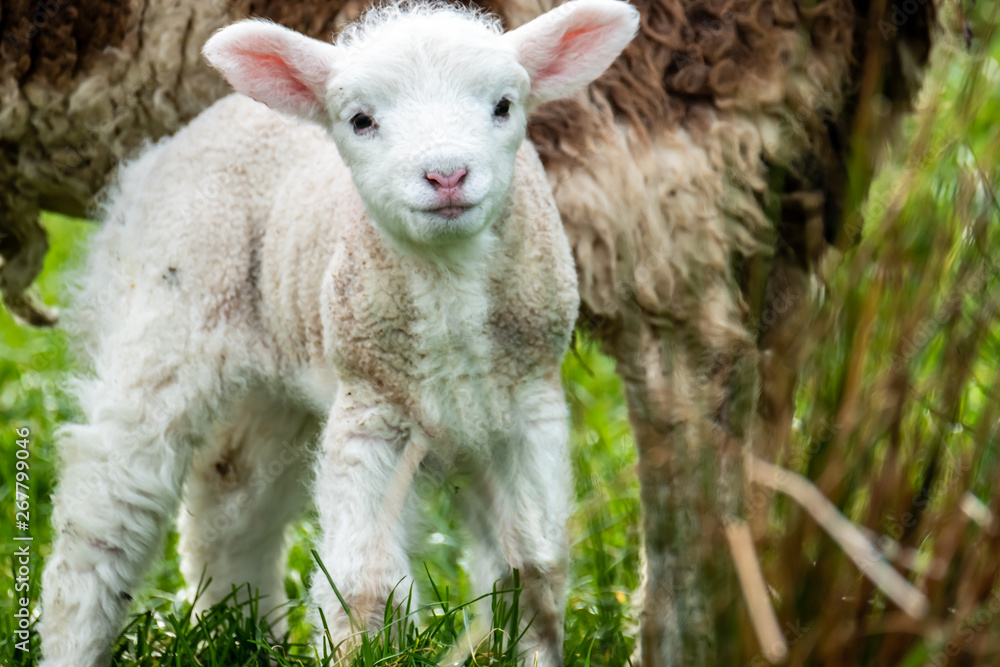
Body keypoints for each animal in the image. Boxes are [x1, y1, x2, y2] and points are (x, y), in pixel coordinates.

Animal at [36, 1, 639, 665]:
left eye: (504, 106)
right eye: (361, 120)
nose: (446, 175)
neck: (449, 285)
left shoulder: (530, 405)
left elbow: (534, 567)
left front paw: (532, 647)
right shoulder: (370, 407)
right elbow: (364, 586)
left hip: (277, 383)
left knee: (231, 502)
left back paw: (242, 628)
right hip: (167, 320)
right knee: (108, 503)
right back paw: (75, 638)